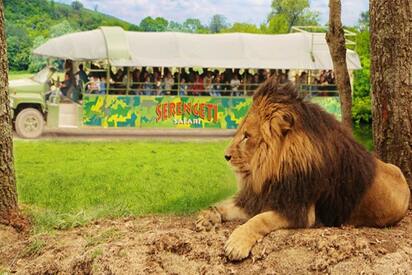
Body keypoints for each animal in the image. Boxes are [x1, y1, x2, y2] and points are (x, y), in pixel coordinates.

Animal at [196, 77, 408, 260]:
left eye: (246, 136)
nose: (226, 156)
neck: (272, 170)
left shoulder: (300, 210)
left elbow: (259, 219)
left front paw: (237, 243)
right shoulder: (264, 195)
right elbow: (227, 205)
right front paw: (207, 216)